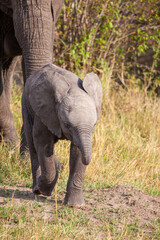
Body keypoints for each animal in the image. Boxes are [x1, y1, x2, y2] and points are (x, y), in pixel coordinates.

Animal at [22, 63, 102, 206]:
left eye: (94, 125)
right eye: (66, 124)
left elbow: (77, 151)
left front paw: (75, 205)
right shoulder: (45, 111)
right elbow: (43, 145)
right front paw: (42, 189)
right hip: (26, 103)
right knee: (32, 144)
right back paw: (37, 189)